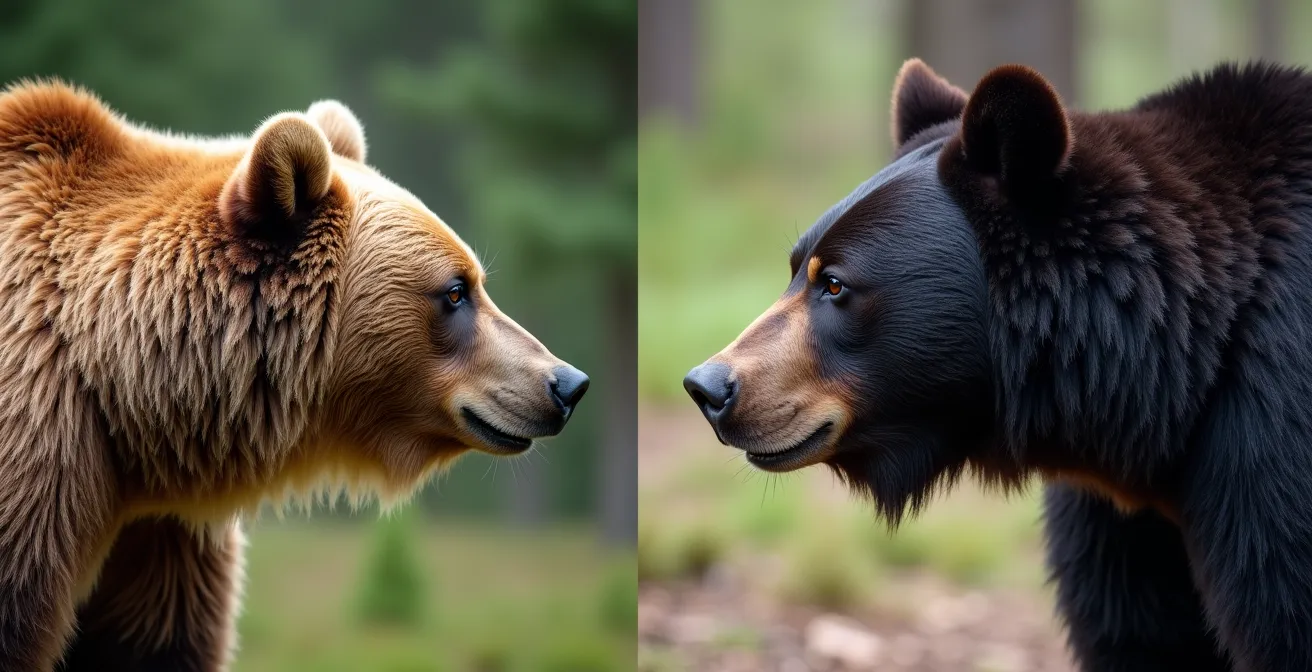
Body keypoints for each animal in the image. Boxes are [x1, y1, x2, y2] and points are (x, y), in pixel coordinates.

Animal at [684, 58, 1312, 671]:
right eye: (795, 268)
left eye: (834, 283)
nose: (708, 387)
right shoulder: (1116, 521)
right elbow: (1138, 633)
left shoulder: (1269, 442)